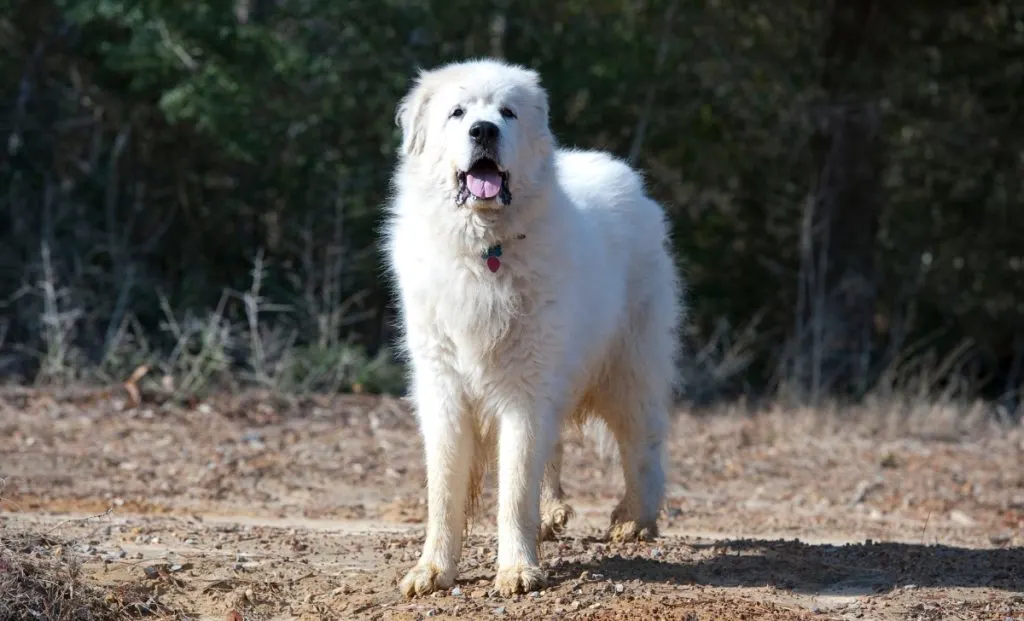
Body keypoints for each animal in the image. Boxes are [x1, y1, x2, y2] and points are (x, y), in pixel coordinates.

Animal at [380, 58, 684, 598]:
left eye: (507, 112)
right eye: (458, 112)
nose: (484, 130)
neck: (486, 251)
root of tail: (627, 176)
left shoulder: (525, 388)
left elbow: (515, 484)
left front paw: (518, 569)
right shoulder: (444, 386)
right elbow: (444, 489)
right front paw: (433, 570)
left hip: (628, 368)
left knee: (642, 445)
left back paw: (636, 518)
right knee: (556, 443)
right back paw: (553, 513)